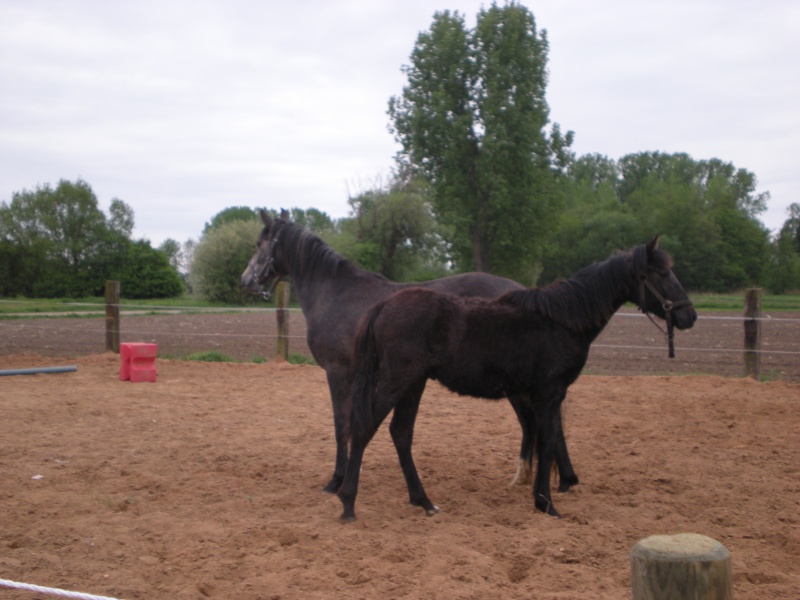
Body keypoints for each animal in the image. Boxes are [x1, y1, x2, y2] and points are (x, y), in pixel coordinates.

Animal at [241, 212, 580, 496]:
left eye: (259, 243)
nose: (246, 280)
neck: (337, 293)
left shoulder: (338, 372)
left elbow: (341, 426)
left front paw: (336, 481)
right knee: (535, 422)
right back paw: (544, 478)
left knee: (539, 422)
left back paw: (556, 480)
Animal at [338, 238, 692, 520]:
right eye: (662, 274)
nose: (689, 315)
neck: (562, 320)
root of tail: (384, 306)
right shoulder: (550, 393)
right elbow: (547, 442)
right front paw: (546, 503)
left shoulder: (542, 395)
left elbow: (545, 438)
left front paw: (544, 495)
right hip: (398, 381)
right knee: (365, 427)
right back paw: (348, 502)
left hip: (414, 383)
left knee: (400, 433)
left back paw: (424, 502)